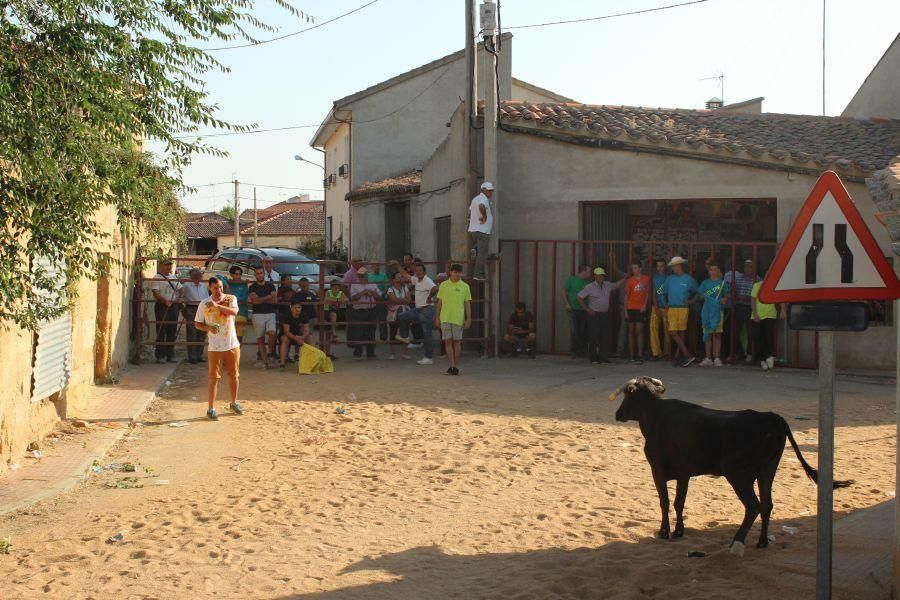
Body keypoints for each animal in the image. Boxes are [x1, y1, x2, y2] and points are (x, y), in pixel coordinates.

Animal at [608, 378, 856, 556]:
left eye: (627, 397)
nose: (617, 414)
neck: (655, 414)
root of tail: (771, 417)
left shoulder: (657, 469)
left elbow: (665, 501)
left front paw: (664, 532)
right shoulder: (684, 474)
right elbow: (679, 502)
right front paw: (679, 531)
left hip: (739, 476)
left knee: (754, 506)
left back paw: (737, 541)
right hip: (767, 472)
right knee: (767, 505)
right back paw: (762, 542)